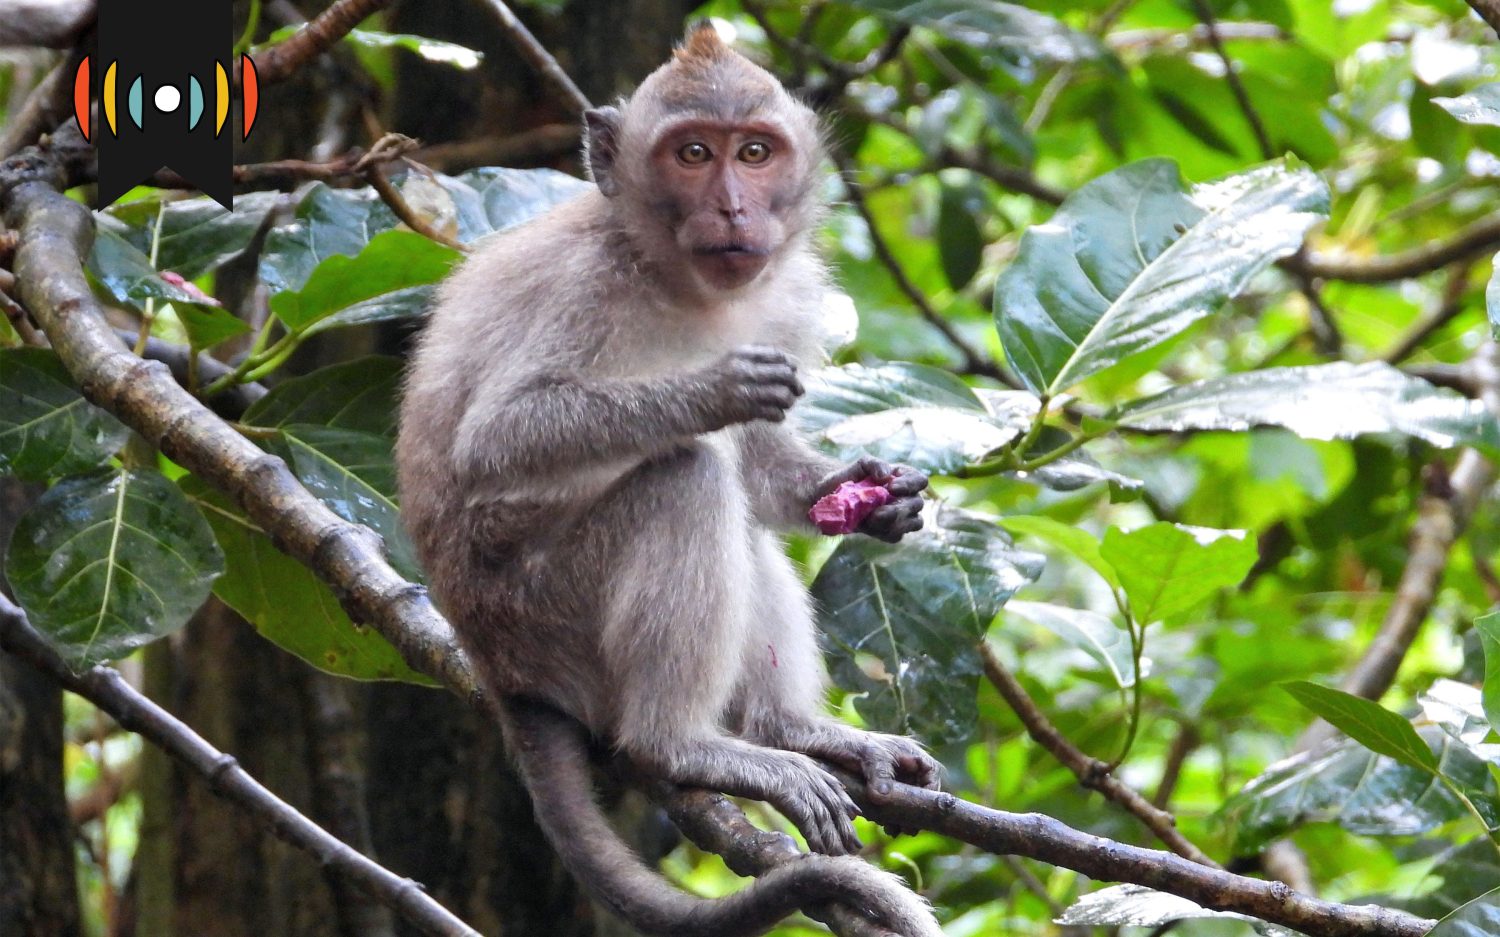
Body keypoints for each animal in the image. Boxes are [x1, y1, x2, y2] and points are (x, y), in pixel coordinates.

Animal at [396, 25, 943, 937]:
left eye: (754, 152)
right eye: (692, 154)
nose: (732, 208)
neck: (671, 275)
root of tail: (506, 677)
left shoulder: (784, 293)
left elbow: (761, 466)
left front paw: (872, 495)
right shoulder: (583, 291)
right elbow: (497, 440)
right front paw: (711, 389)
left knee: (734, 511)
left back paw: (790, 728)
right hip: (549, 612)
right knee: (684, 477)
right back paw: (681, 743)